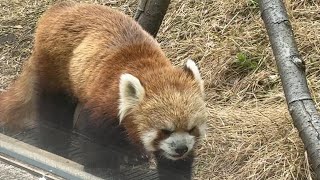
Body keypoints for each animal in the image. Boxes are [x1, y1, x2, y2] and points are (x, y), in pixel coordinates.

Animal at [0, 1, 208, 167]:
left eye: (192, 128)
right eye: (164, 131)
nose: (182, 148)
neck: (148, 67)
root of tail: (59, 9)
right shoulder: (104, 100)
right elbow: (96, 138)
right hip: (56, 67)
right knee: (54, 107)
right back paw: (54, 144)